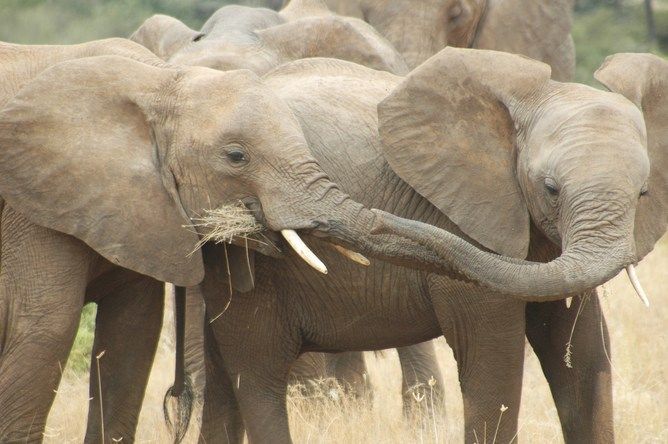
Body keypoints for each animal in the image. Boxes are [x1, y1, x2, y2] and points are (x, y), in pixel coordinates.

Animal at [0, 40, 448, 442]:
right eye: (236, 157)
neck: (161, 81)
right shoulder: (35, 204)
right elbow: (48, 326)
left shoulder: (135, 213)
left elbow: (133, 333)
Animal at [192, 48, 664, 444]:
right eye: (550, 188)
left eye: (644, 193)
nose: (258, 208)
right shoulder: (465, 215)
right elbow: (493, 358)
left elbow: (582, 352)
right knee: (260, 371)